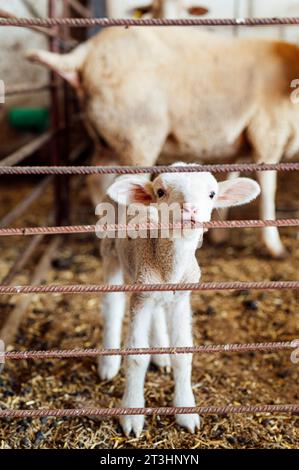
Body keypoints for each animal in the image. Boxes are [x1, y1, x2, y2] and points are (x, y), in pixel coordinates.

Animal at [100, 164, 260, 436]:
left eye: (212, 194)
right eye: (160, 192)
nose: (190, 210)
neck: (168, 268)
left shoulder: (181, 297)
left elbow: (183, 353)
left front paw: (186, 410)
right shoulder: (141, 295)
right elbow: (136, 357)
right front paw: (132, 412)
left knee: (157, 312)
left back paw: (160, 354)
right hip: (110, 250)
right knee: (112, 305)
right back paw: (109, 362)